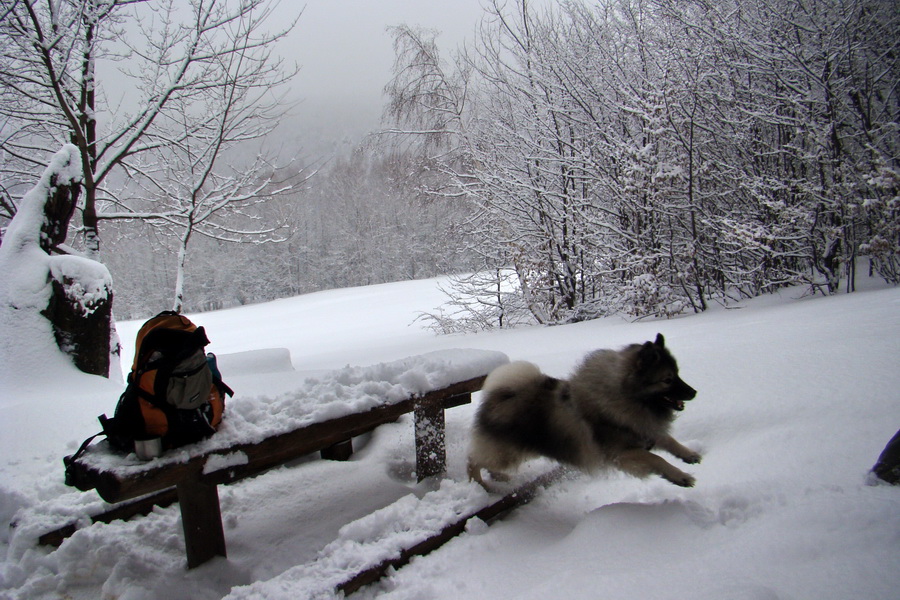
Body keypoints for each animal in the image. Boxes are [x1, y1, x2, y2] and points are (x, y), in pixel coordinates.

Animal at [468, 332, 700, 488]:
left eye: (677, 374)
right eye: (667, 380)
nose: (694, 392)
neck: (623, 397)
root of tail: (499, 396)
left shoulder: (644, 429)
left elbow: (668, 440)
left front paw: (688, 454)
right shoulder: (622, 453)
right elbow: (657, 459)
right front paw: (680, 476)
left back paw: (498, 477)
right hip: (507, 454)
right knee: (474, 460)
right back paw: (479, 483)